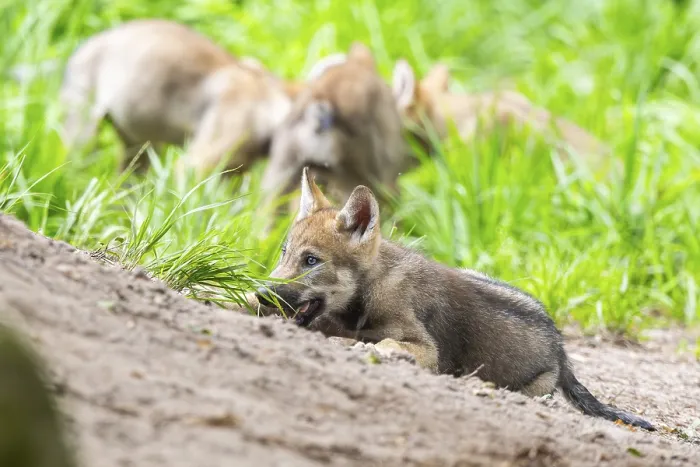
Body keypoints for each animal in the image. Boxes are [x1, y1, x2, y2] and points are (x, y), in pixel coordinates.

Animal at [255, 167, 655, 431]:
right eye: (284, 254)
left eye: (311, 261)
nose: (260, 293)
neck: (370, 289)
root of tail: (561, 349)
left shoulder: (426, 350)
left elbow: (376, 341)